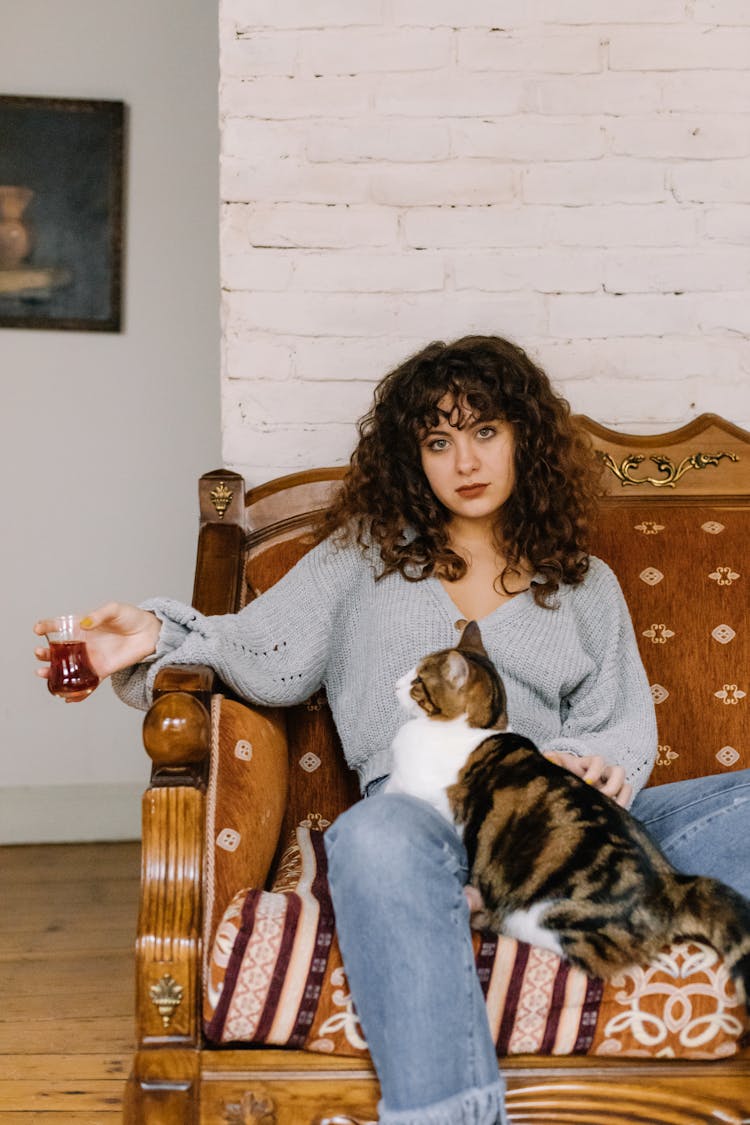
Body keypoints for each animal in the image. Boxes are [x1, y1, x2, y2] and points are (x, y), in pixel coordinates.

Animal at [386, 625, 750, 1003]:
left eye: (418, 681)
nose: (394, 684)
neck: (475, 731)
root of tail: (672, 883)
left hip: (542, 914)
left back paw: (480, 910)